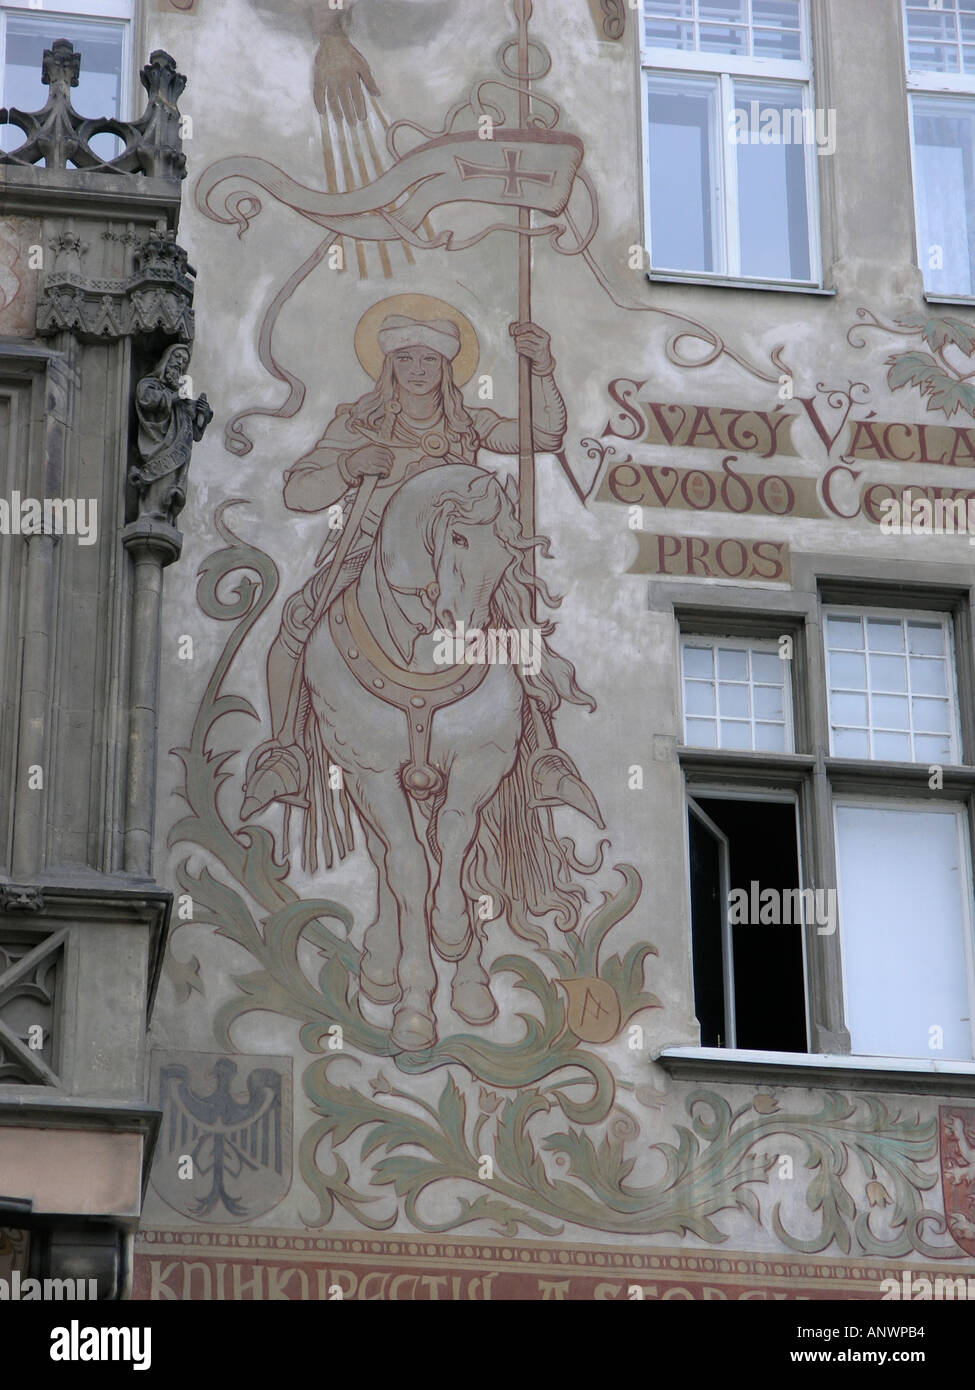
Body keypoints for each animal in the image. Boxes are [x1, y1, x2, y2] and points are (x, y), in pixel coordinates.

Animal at [304, 461, 592, 1045]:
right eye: (458, 538)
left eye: (507, 556)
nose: (464, 637)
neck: (420, 663)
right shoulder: (369, 771)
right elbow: (407, 866)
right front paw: (414, 1008)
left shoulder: (480, 763)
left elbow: (454, 845)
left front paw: (453, 934)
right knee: (388, 860)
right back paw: (382, 969)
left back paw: (472, 987)